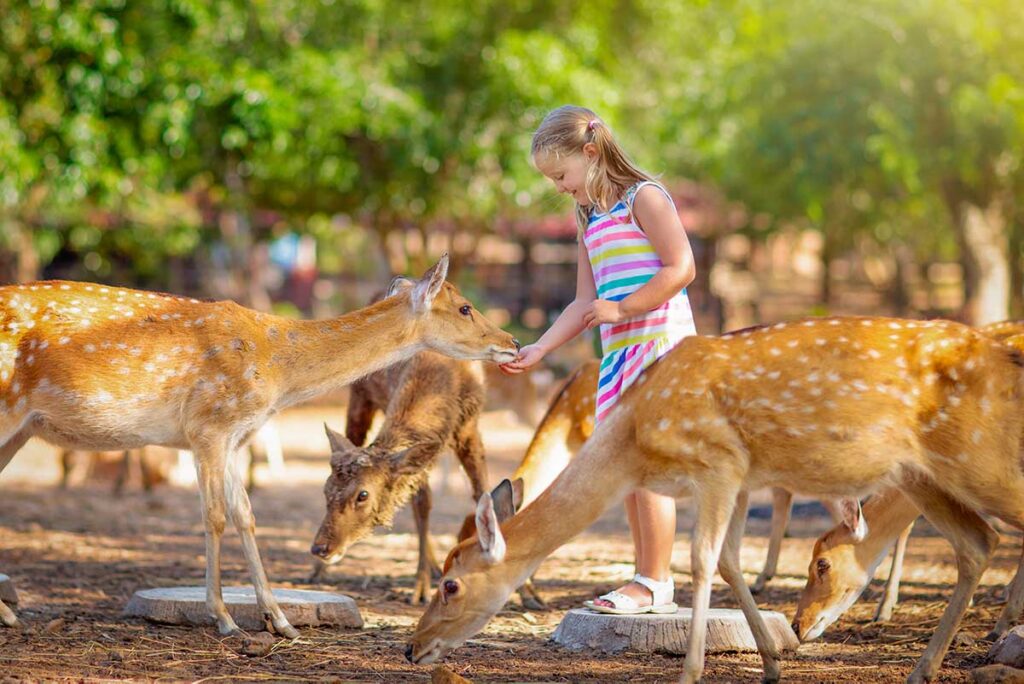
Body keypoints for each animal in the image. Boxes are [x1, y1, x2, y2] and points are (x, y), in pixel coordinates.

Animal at [308, 288, 491, 603]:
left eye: (363, 495)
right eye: (325, 489)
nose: (320, 548)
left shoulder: (469, 427)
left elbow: (482, 493)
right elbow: (422, 501)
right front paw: (420, 587)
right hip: (359, 396)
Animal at [408, 316, 1024, 684]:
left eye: (451, 583)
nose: (412, 649)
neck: (635, 439)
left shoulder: (720, 462)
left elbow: (703, 560)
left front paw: (691, 671)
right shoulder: (737, 476)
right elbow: (729, 559)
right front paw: (772, 662)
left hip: (979, 458)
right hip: (923, 473)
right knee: (979, 541)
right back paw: (923, 669)